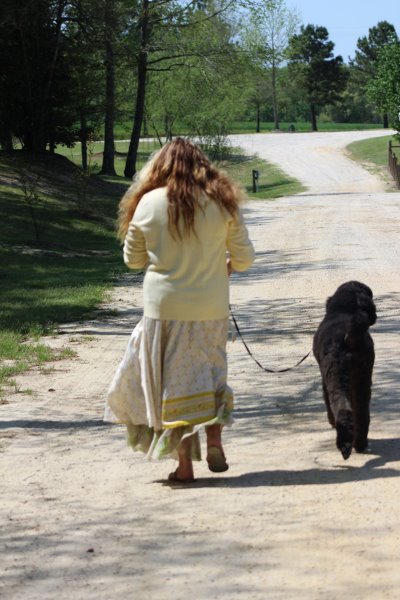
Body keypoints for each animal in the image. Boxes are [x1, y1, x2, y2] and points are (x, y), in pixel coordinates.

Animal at [313, 281, 377, 459]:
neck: (344, 308)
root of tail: (349, 339)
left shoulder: (324, 379)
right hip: (363, 377)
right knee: (362, 412)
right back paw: (360, 443)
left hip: (336, 379)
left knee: (342, 408)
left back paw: (345, 444)